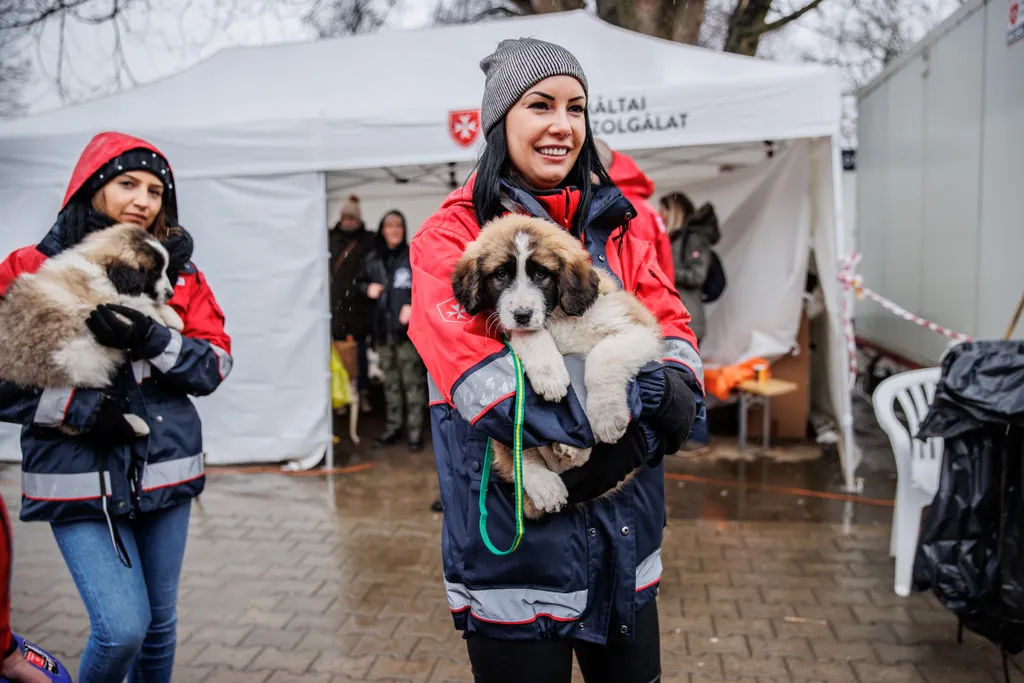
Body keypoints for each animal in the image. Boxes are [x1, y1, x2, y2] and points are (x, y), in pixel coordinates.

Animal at [0, 224, 184, 438]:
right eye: (154, 271)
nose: (170, 293)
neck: (101, 268)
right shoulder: (101, 301)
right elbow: (140, 304)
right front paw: (157, 318)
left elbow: (146, 303)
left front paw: (173, 318)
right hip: (72, 362)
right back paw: (131, 423)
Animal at [450, 214, 663, 518]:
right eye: (501, 274)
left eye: (541, 274)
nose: (523, 314)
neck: (559, 317)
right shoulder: (512, 334)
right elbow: (528, 335)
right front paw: (550, 376)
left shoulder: (639, 329)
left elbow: (604, 355)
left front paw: (607, 416)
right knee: (517, 450)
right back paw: (545, 482)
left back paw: (571, 450)